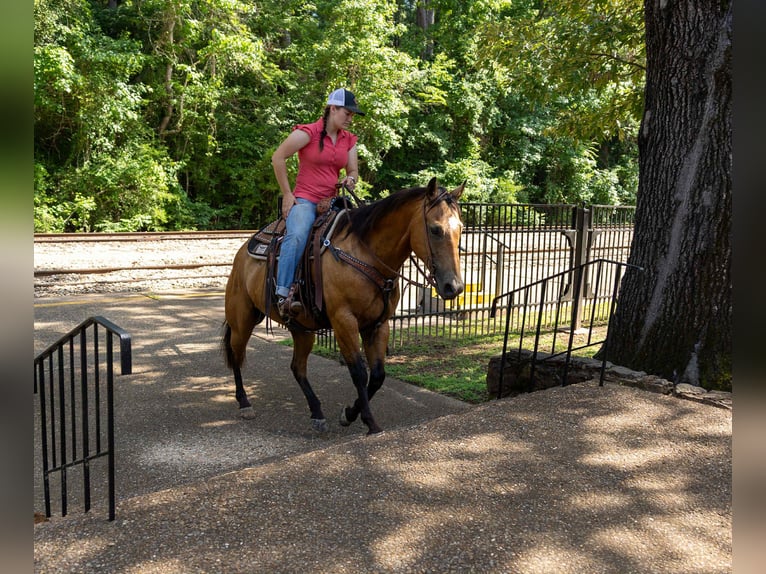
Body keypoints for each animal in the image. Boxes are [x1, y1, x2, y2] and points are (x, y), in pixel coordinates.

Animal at [221, 177, 465, 435]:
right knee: (236, 354)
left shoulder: (378, 324)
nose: (455, 287)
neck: (366, 255)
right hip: (242, 320)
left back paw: (317, 412)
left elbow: (377, 375)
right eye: (435, 229)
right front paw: (370, 422)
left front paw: (349, 414)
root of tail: (242, 253)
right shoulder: (343, 320)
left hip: (301, 329)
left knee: (297, 367)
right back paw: (244, 403)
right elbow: (357, 371)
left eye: (461, 228)